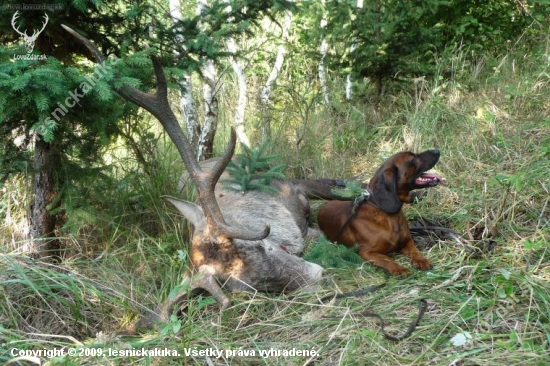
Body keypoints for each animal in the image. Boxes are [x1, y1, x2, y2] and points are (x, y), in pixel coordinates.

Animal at [320, 149, 448, 274]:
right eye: (412, 159)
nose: (437, 151)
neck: (388, 215)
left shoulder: (407, 241)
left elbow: (415, 251)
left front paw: (421, 260)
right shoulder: (367, 252)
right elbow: (387, 260)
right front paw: (400, 269)